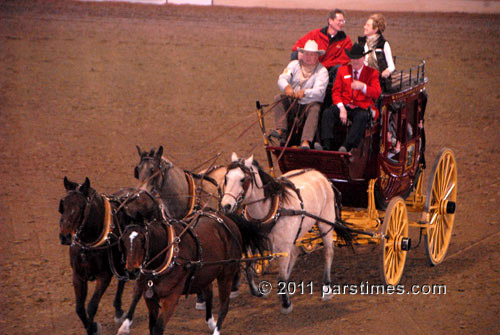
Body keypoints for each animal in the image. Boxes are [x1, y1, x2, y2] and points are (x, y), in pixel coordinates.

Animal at [58, 177, 161, 334]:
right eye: (63, 205)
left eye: (82, 207)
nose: (65, 236)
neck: (88, 245)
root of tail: (145, 193)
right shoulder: (78, 276)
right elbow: (79, 308)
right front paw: (92, 326)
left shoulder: (104, 276)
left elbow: (91, 306)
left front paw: (93, 328)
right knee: (123, 280)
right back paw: (118, 310)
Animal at [120, 213, 266, 335]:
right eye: (124, 241)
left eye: (143, 240)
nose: (132, 271)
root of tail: (228, 220)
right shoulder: (149, 295)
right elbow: (151, 326)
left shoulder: (172, 297)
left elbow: (158, 328)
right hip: (206, 274)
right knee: (209, 294)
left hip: (226, 274)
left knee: (224, 306)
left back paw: (217, 330)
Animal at [223, 154, 352, 316]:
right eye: (226, 178)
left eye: (243, 179)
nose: (226, 205)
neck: (269, 211)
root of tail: (321, 175)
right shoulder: (255, 243)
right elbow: (249, 270)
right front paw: (258, 291)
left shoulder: (282, 247)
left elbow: (280, 277)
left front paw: (286, 304)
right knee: (295, 253)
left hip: (326, 222)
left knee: (328, 251)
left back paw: (327, 288)